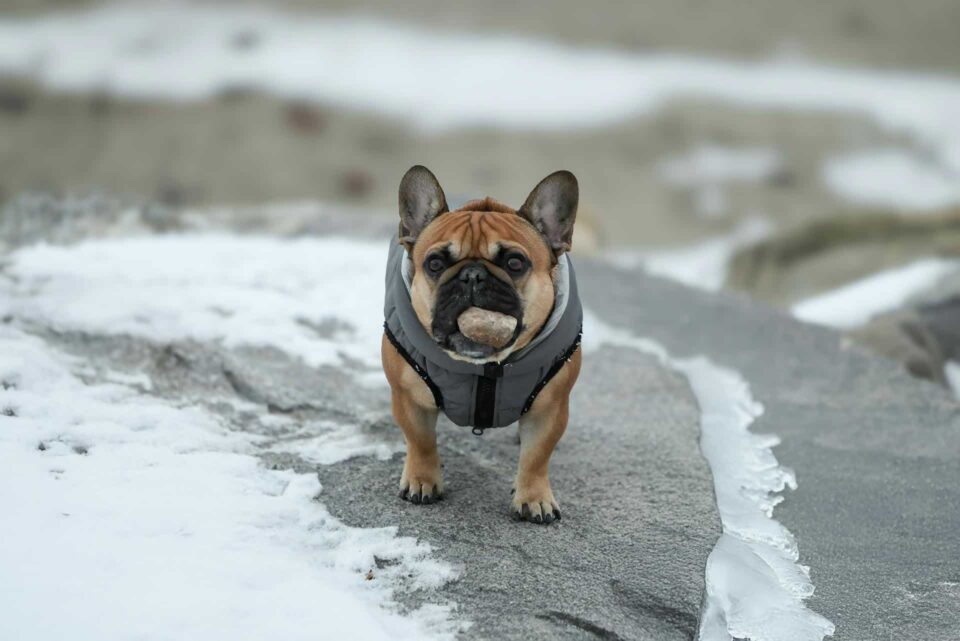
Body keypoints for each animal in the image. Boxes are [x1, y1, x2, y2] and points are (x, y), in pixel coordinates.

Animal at [380, 164, 580, 520]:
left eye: (515, 263)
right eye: (435, 264)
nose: (472, 275)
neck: (485, 367)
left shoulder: (551, 408)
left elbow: (537, 456)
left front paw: (534, 497)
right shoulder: (409, 398)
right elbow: (420, 440)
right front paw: (422, 479)